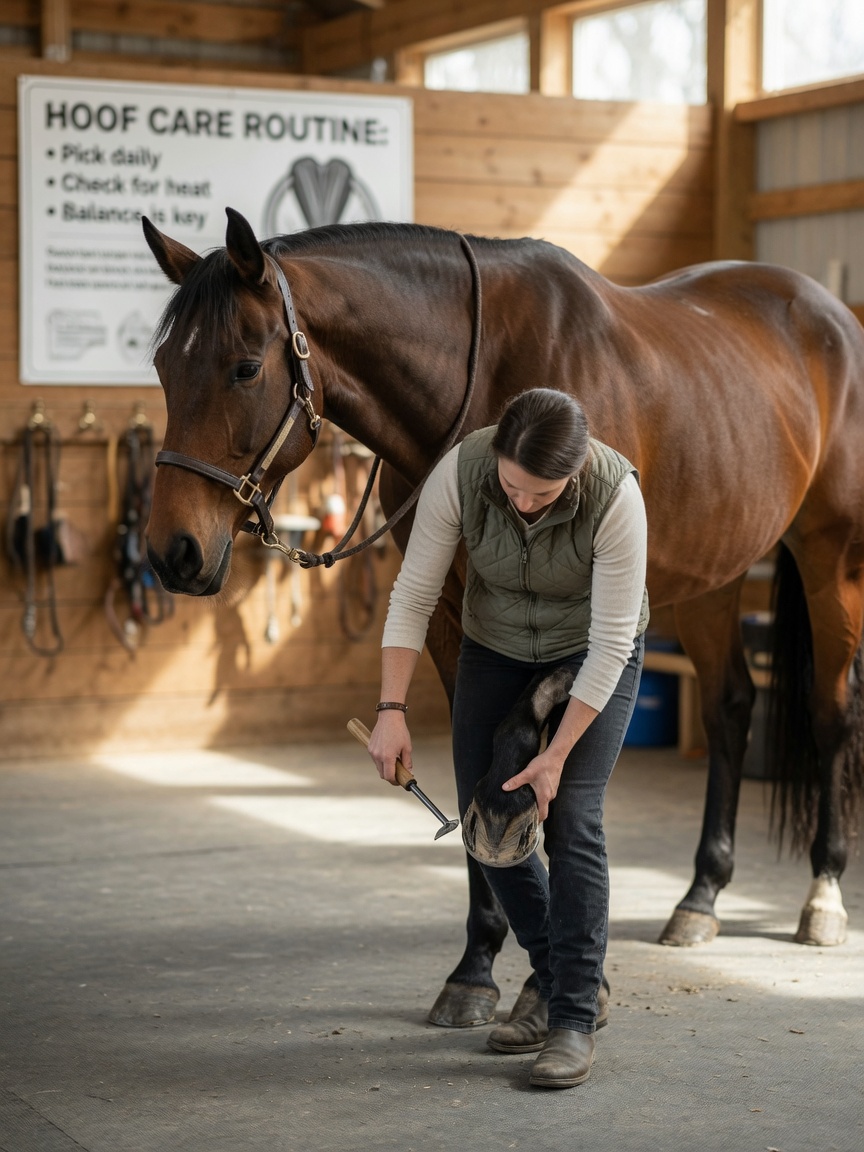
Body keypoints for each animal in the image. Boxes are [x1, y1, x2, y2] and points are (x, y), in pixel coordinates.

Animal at [142, 207, 864, 1029]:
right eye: (162, 367)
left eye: (243, 368)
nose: (173, 552)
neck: (490, 379)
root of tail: (829, 313)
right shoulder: (450, 615)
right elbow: (470, 759)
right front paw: (476, 969)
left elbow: (531, 763)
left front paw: (543, 977)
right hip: (717, 574)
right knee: (730, 709)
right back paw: (701, 896)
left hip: (830, 558)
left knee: (832, 712)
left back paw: (823, 896)